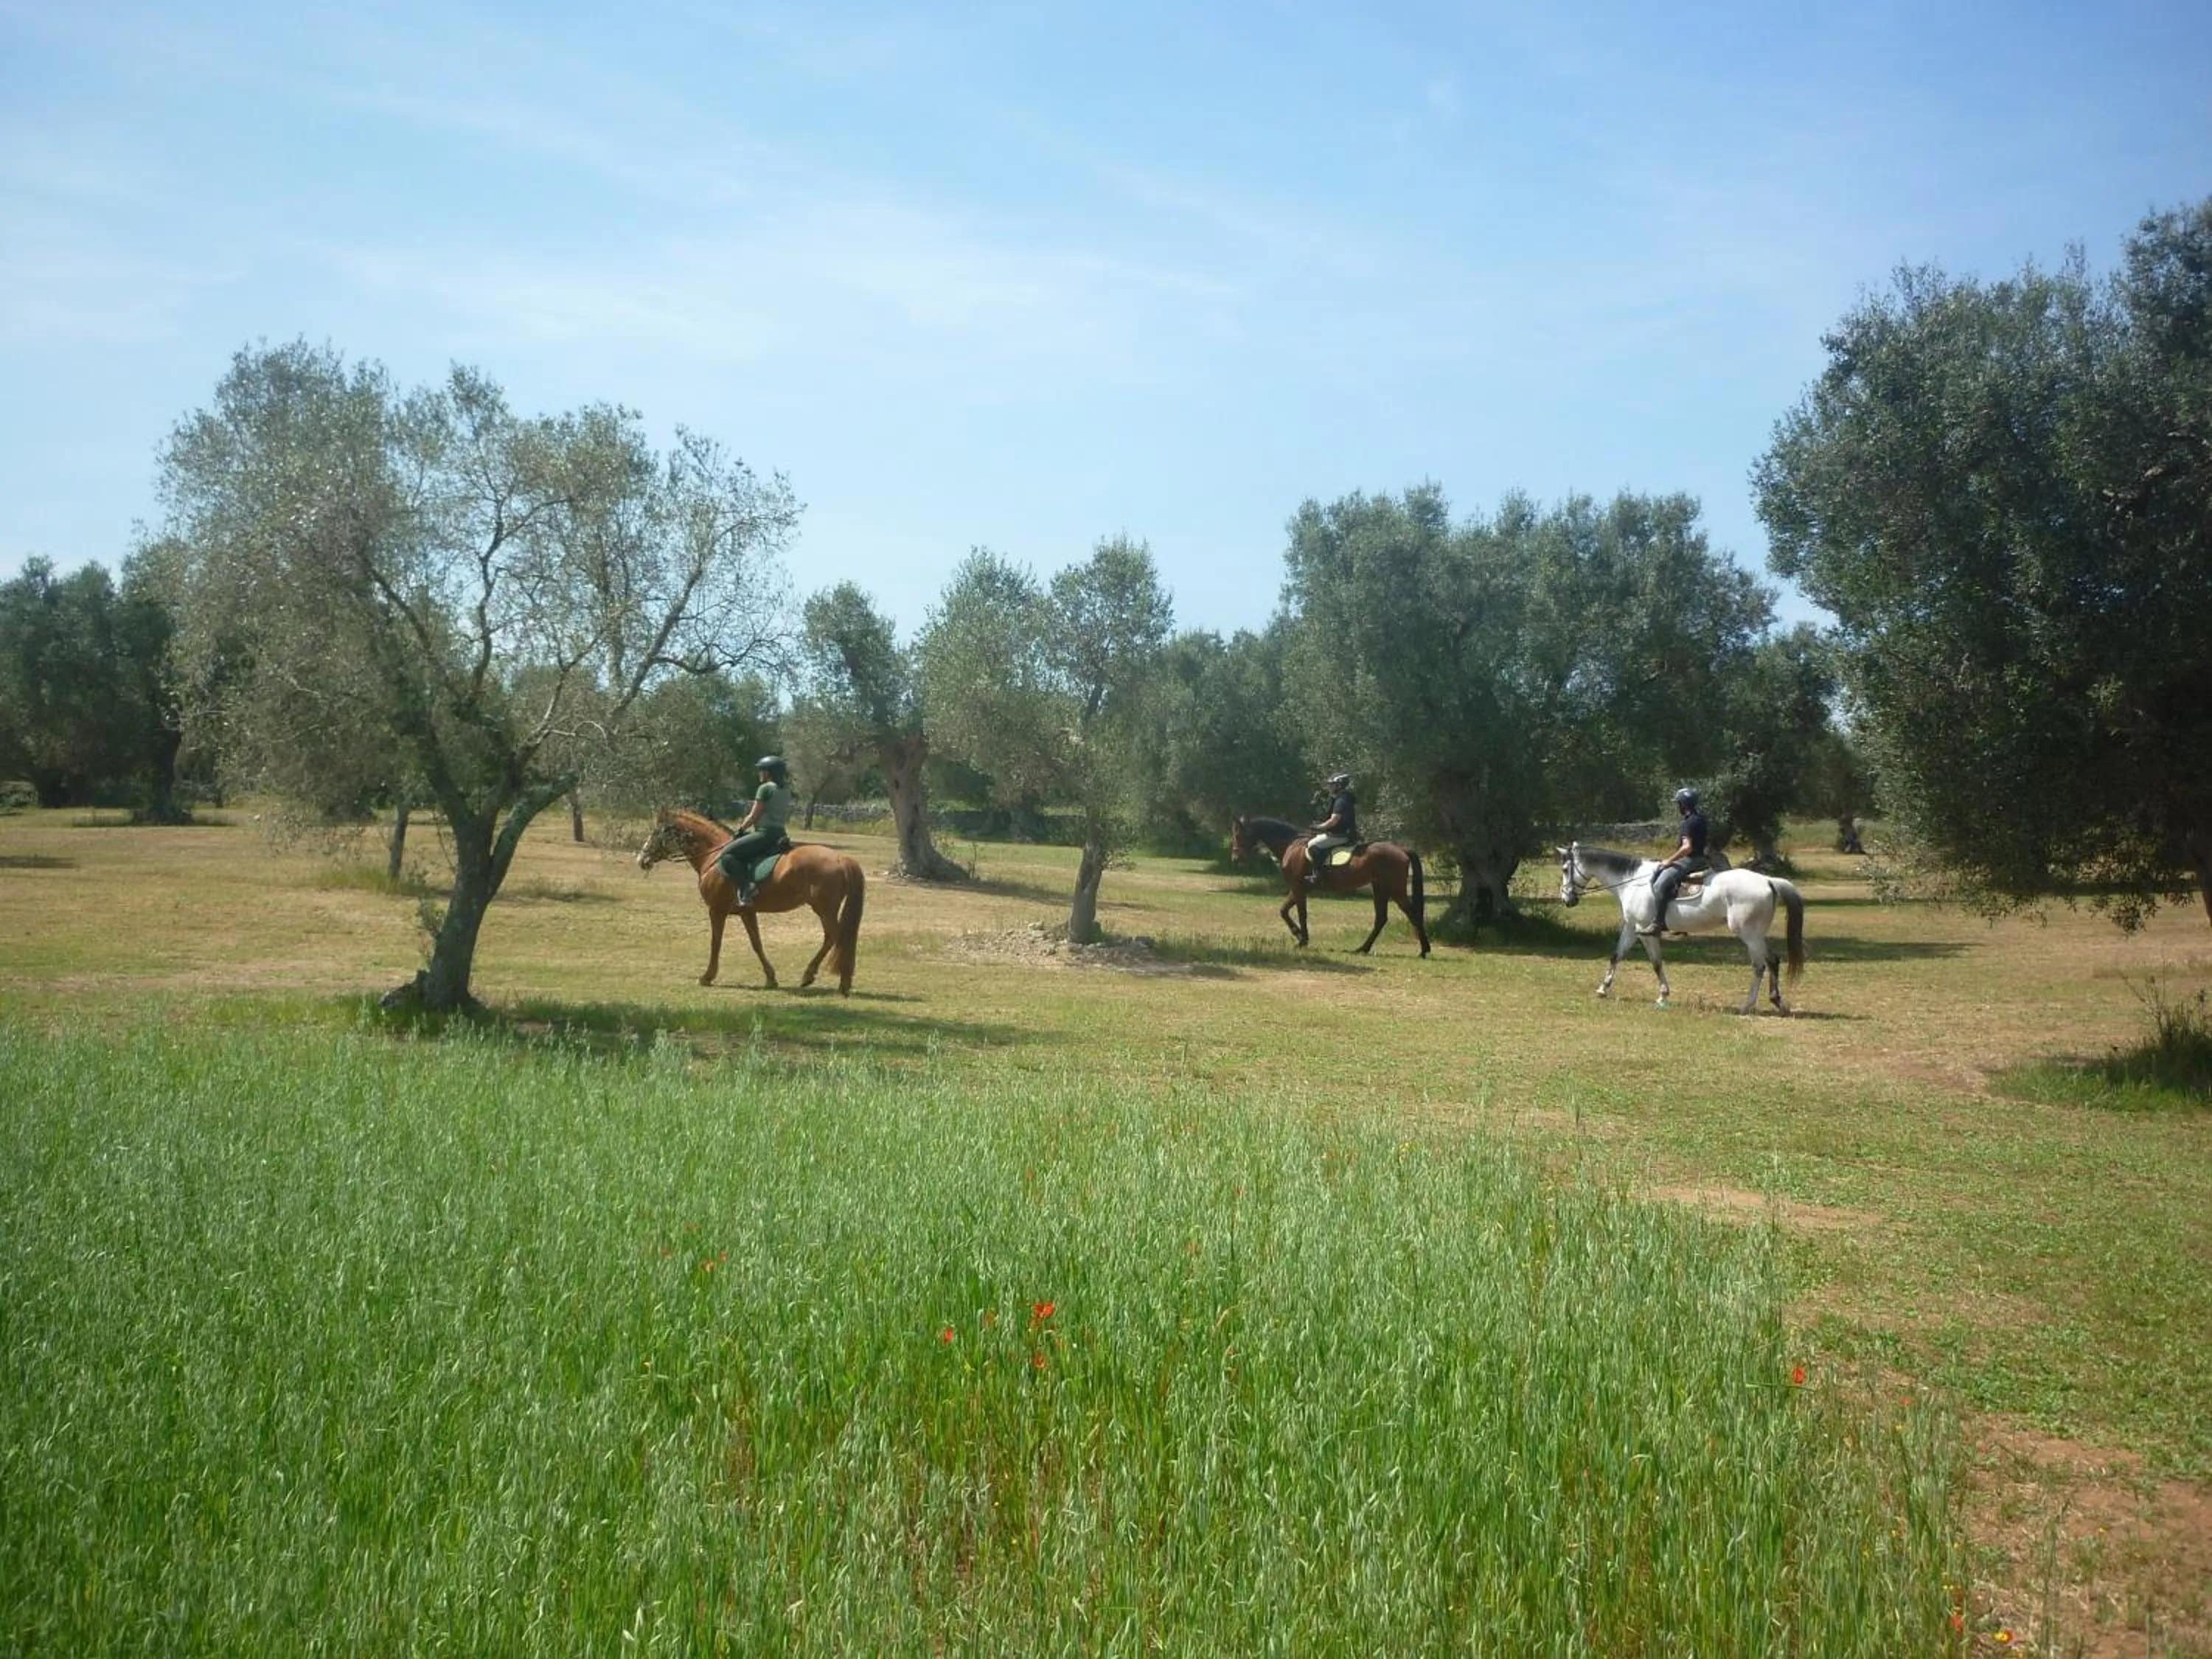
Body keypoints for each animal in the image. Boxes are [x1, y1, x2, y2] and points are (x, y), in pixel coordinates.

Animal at [636, 807, 866, 994]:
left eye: (656, 833)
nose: (641, 860)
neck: (713, 857)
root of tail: (841, 858)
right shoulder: (747, 912)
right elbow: (756, 943)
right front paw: (771, 979)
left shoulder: (717, 911)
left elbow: (716, 943)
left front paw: (707, 977)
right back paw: (843, 982)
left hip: (824, 908)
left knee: (834, 935)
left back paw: (811, 975)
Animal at [1230, 815, 1430, 956]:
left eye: (1239, 835)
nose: (1236, 858)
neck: (1292, 844)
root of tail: (1401, 849)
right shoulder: (1300, 888)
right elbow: (1284, 911)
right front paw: (1299, 935)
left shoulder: (1298, 887)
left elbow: (1301, 914)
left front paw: (1302, 939)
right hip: (1380, 888)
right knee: (1381, 918)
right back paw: (1362, 949)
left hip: (1395, 889)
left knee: (1412, 914)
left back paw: (1424, 950)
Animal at [1556, 841, 1804, 1013]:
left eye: (1565, 869)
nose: (1567, 899)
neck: (1633, 882)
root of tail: (1768, 881)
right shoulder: (1631, 927)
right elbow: (1616, 956)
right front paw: (1603, 988)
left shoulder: (1646, 932)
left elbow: (1656, 963)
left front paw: (1663, 996)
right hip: (1757, 934)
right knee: (1773, 961)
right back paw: (1777, 1003)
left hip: (1749, 934)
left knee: (1761, 965)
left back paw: (1750, 1005)